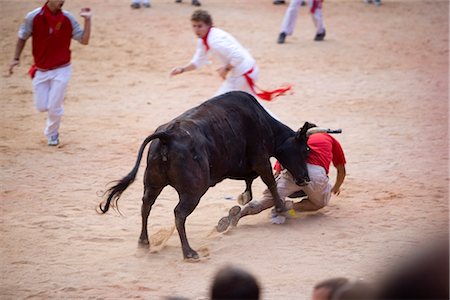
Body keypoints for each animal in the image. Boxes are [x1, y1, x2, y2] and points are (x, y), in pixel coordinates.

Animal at [99, 90, 312, 258]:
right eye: (306, 149)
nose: (305, 178)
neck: (263, 121)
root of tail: (167, 136)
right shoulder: (261, 159)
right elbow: (270, 183)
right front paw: (281, 207)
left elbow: (249, 186)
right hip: (194, 191)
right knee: (179, 213)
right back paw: (189, 252)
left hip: (153, 183)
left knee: (146, 205)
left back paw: (144, 242)